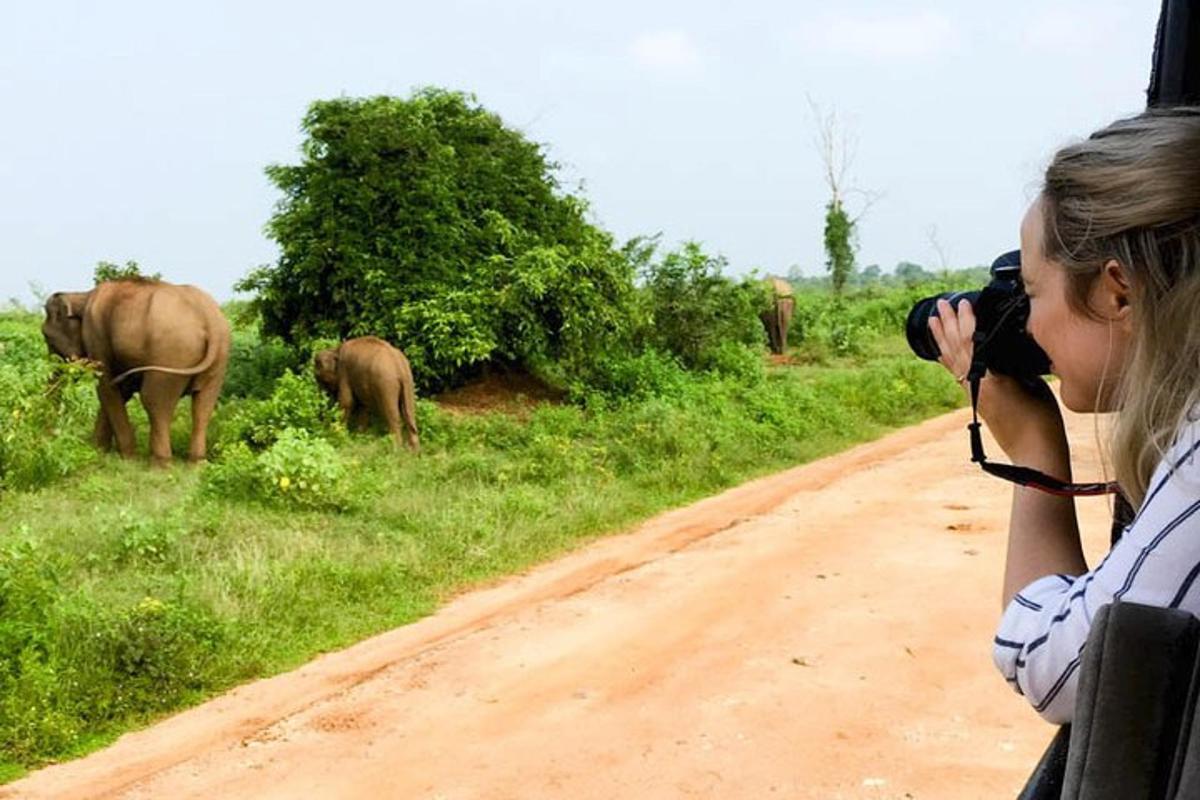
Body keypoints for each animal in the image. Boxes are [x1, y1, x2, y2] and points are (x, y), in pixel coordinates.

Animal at [42, 278, 231, 465]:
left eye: (46, 337)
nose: (53, 435)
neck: (82, 296)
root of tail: (210, 321)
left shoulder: (96, 336)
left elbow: (106, 388)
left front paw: (126, 457)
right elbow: (120, 391)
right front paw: (98, 451)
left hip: (171, 353)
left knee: (154, 401)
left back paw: (160, 464)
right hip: (218, 360)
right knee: (203, 405)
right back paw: (197, 464)